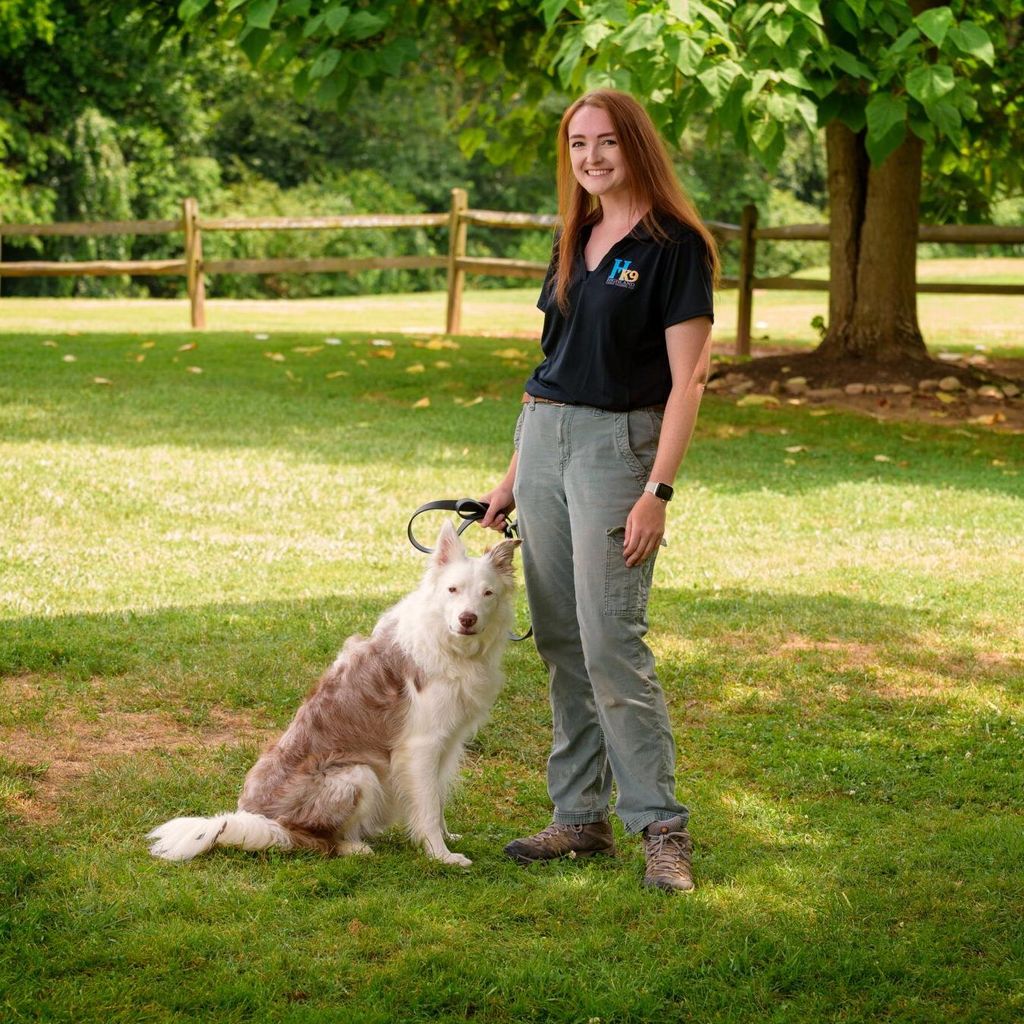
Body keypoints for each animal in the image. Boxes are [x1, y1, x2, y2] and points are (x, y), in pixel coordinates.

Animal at [148, 524, 520, 868]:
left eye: (488, 593)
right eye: (452, 589)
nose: (467, 618)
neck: (449, 643)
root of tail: (266, 823)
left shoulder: (448, 741)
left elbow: (437, 797)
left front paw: (446, 837)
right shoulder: (421, 745)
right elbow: (427, 807)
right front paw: (441, 855)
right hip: (357, 773)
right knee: (320, 842)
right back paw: (355, 847)